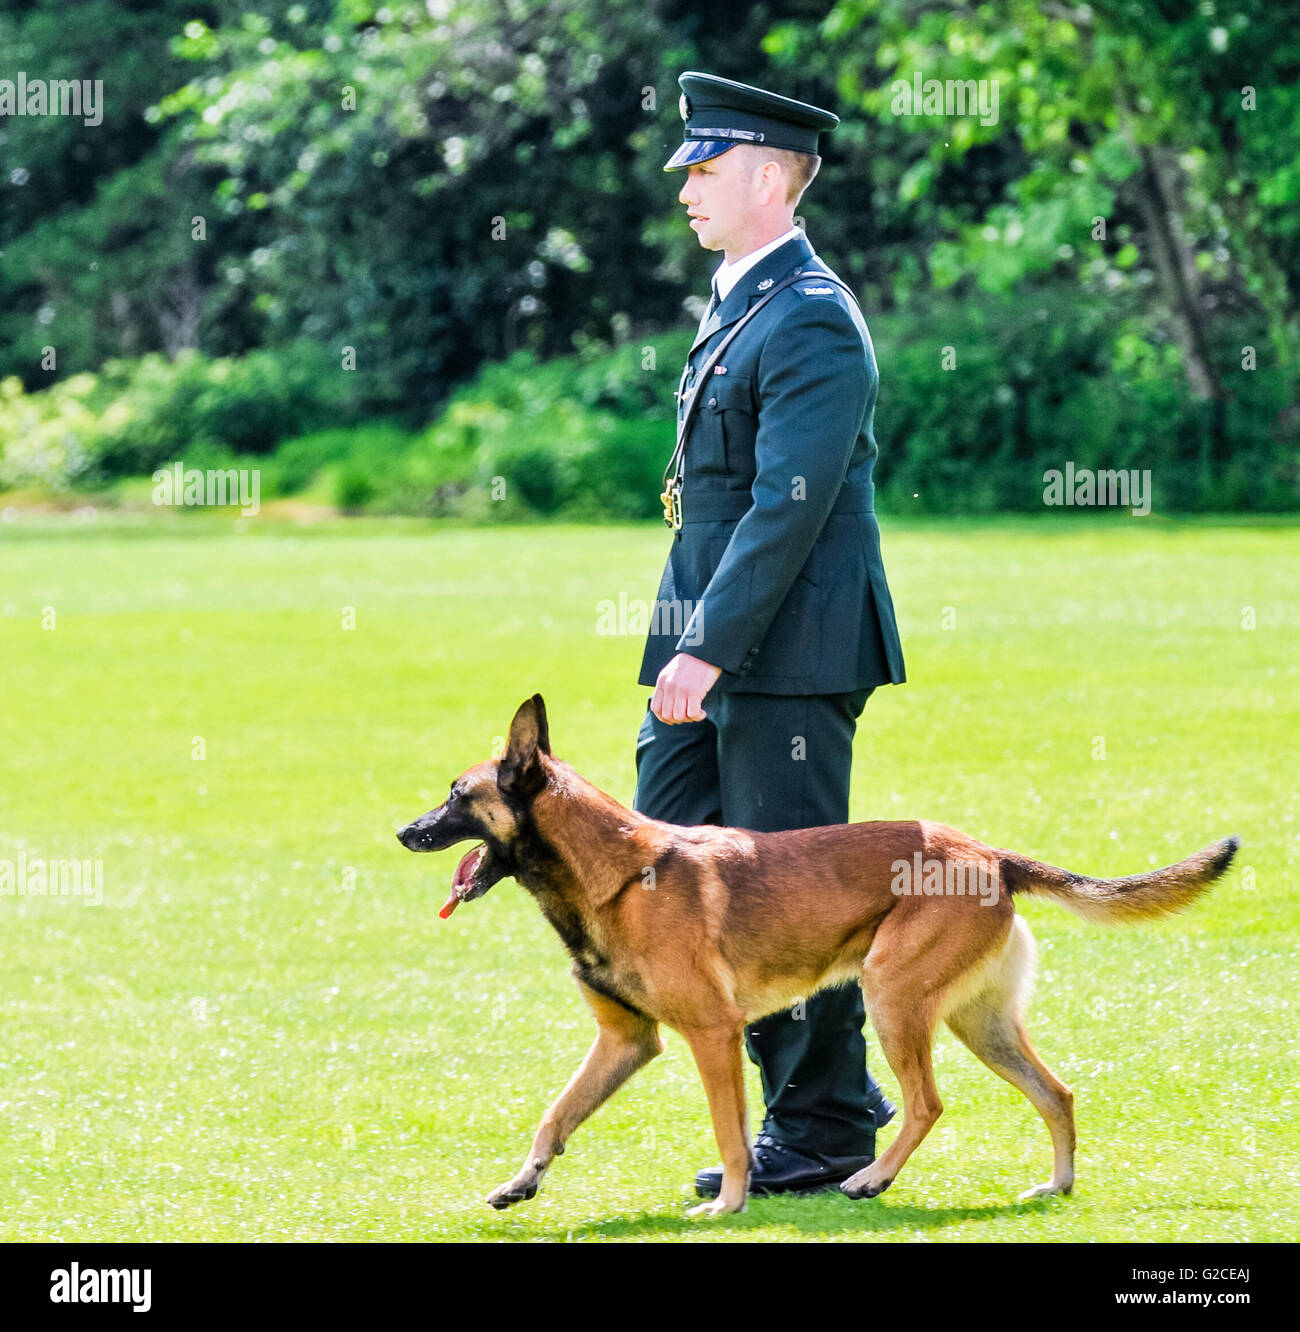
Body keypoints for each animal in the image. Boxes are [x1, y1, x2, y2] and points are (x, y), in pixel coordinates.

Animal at [396, 697, 1241, 1220]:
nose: (404, 831)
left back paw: (871, 1178)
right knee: (1057, 1093)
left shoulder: (713, 1035)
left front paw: (728, 1205)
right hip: (979, 1023)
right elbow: (555, 1114)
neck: (616, 876)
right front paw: (521, 1182)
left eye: (458, 795)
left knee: (928, 1103)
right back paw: (1057, 1186)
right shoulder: (625, 1041)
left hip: (893, 997)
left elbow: (731, 1132)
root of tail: (991, 856)